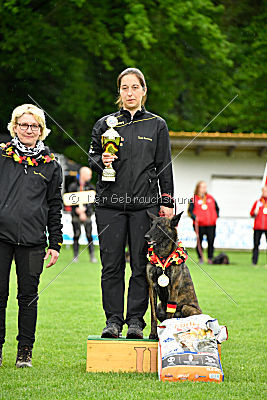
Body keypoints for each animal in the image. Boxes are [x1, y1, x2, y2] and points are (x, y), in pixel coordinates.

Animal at [146, 211, 202, 340]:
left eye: (159, 226)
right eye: (152, 224)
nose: (146, 237)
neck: (162, 256)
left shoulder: (173, 288)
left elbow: (169, 316)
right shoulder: (152, 288)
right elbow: (153, 315)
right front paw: (153, 334)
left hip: (187, 308)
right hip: (160, 306)